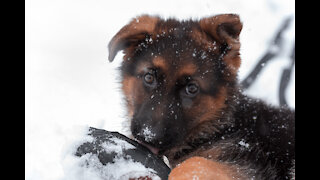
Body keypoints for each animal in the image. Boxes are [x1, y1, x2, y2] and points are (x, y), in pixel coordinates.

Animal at [108, 14, 296, 180]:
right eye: (149, 78)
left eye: (192, 88)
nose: (150, 137)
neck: (215, 129)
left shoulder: (249, 166)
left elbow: (193, 162)